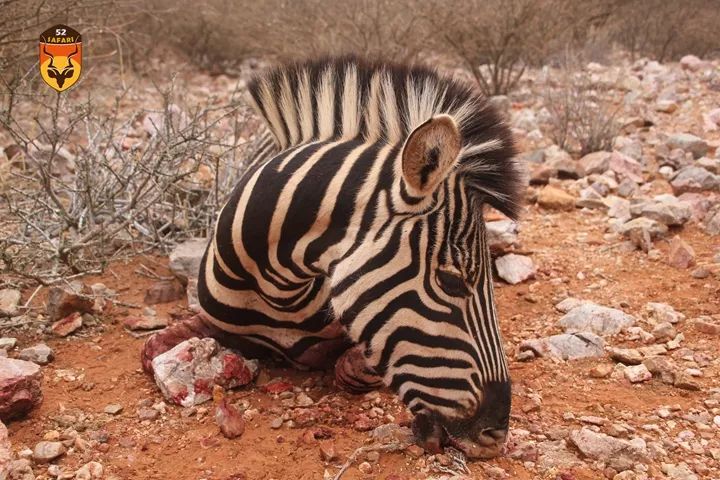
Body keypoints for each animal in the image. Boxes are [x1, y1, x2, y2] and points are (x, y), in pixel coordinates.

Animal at [142, 55, 524, 458]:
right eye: (451, 280)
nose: (495, 435)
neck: (279, 291)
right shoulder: (213, 320)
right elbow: (151, 348)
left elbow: (350, 367)